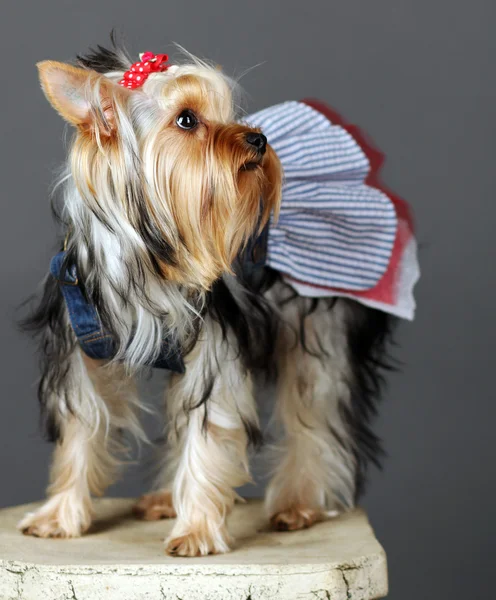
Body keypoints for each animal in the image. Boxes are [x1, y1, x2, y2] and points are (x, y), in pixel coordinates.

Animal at [17, 38, 416, 556]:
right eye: (187, 120)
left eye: (231, 112)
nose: (259, 140)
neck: (151, 253)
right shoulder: (81, 339)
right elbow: (82, 424)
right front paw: (60, 515)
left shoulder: (215, 344)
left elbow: (209, 431)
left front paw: (196, 531)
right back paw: (165, 499)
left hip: (321, 314)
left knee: (315, 412)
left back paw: (298, 505)